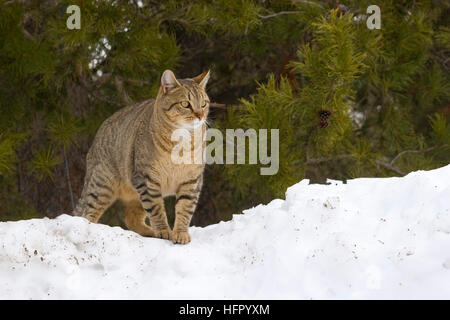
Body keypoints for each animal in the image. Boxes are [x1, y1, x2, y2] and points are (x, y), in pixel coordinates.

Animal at [73, 70, 210, 244]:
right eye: (185, 104)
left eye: (204, 103)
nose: (200, 115)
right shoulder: (147, 179)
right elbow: (157, 209)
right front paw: (164, 231)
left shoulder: (191, 180)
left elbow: (185, 209)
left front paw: (180, 233)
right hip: (102, 184)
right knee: (87, 213)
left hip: (134, 195)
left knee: (130, 218)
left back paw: (149, 231)